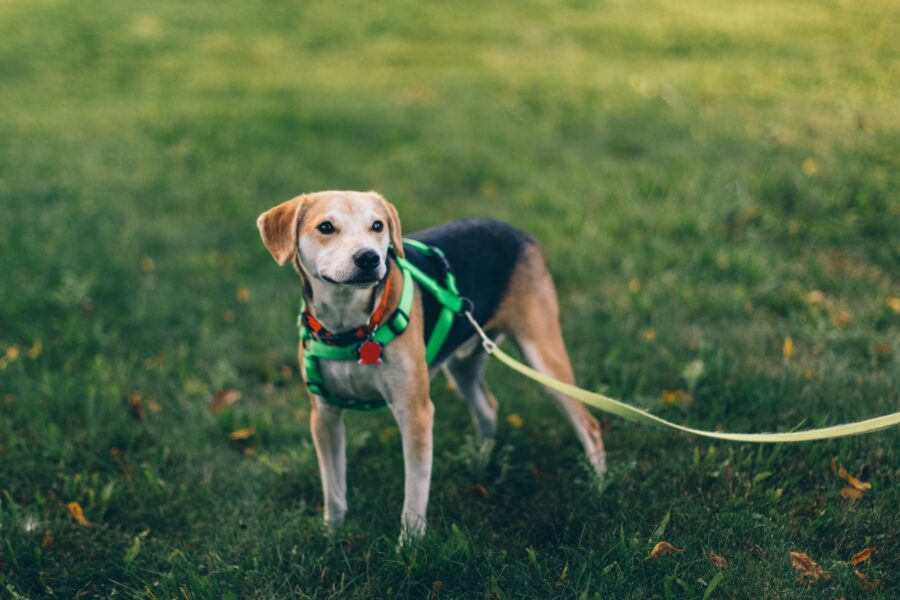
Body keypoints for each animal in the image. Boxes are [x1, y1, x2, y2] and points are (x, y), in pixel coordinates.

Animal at [256, 190, 604, 540]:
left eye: (377, 225)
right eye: (326, 227)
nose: (369, 258)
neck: (352, 328)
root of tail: (516, 231)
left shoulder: (415, 412)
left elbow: (414, 492)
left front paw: (409, 544)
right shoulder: (324, 415)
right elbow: (333, 488)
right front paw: (332, 534)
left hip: (543, 355)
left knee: (589, 424)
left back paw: (598, 485)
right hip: (463, 364)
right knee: (488, 406)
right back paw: (481, 460)